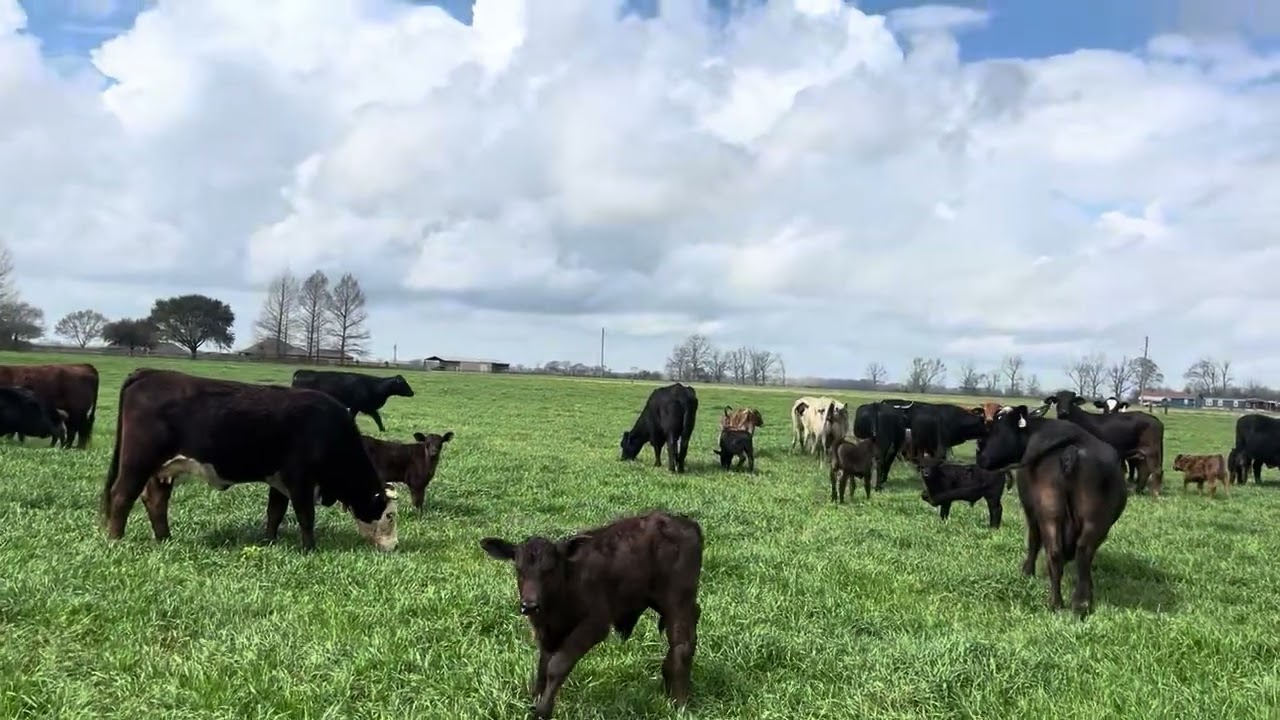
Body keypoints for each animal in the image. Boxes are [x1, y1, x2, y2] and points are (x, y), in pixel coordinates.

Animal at [101, 368, 398, 552]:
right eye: (390, 516)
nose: (394, 546)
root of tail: (149, 372)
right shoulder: (299, 478)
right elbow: (305, 515)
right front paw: (310, 548)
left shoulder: (279, 480)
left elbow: (275, 512)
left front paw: (269, 540)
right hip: (137, 461)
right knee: (121, 495)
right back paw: (116, 540)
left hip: (162, 469)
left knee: (155, 500)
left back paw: (165, 539)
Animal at [479, 510, 703, 719]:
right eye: (519, 569)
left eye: (550, 569)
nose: (529, 606)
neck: (568, 583)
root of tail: (686, 522)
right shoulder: (548, 633)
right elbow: (542, 667)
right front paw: (534, 702)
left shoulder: (595, 624)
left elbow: (556, 666)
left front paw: (543, 710)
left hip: (678, 600)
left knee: (682, 644)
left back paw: (679, 702)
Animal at [977, 404, 1128, 618]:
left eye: (997, 427)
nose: (979, 453)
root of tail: (1073, 450)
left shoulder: (1031, 510)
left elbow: (1033, 541)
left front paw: (1027, 571)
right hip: (1094, 521)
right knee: (1082, 553)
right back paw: (1081, 603)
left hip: (1050, 514)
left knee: (1054, 551)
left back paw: (1055, 602)